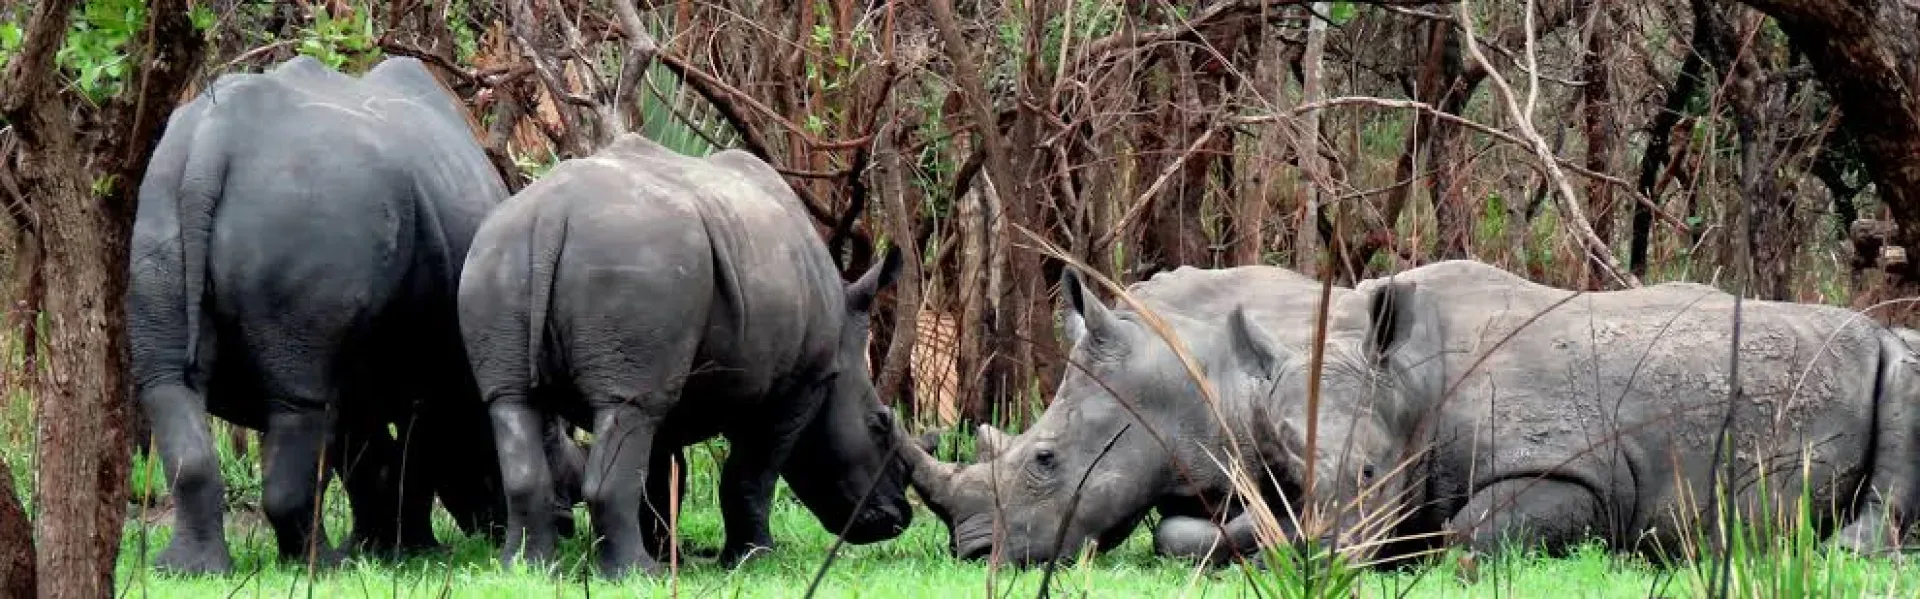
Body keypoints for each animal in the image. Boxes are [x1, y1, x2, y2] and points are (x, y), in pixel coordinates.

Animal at [128, 56, 580, 574]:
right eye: (555, 434)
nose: (568, 521)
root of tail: (211, 141)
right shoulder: (431, 373)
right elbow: (412, 458)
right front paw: (413, 550)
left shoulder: (364, 369)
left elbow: (367, 456)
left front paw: (374, 549)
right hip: (310, 203)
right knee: (301, 402)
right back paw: (320, 565)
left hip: (160, 207)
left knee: (173, 384)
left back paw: (189, 569)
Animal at [457, 132, 914, 579]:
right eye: (879, 425)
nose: (898, 519)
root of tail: (552, 213)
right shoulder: (799, 386)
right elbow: (751, 475)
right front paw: (753, 561)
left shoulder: (669, 370)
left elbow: (660, 474)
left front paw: (672, 555)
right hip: (635, 260)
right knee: (623, 409)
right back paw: (637, 575)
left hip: (496, 258)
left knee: (514, 402)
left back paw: (527, 570)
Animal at [1163, 260, 1920, 565]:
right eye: (1280, 476)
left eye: (1370, 470)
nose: (1315, 557)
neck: (1410, 378)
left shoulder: (1575, 469)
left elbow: (1471, 532)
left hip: (1891, 349)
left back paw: (1844, 551)